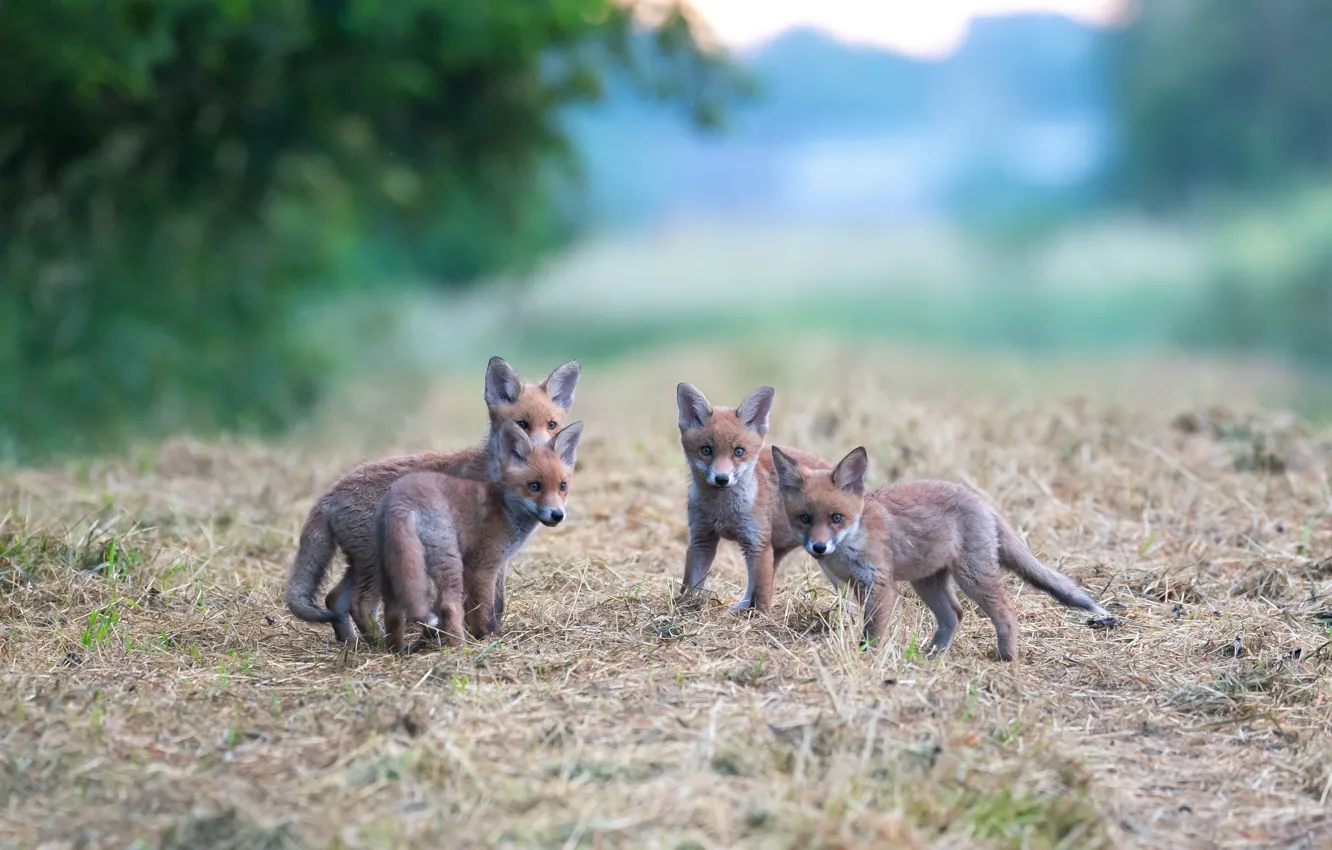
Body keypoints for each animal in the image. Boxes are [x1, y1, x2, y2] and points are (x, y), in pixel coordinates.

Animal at [375, 419, 584, 653]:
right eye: (534, 486)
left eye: (562, 486)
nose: (557, 515)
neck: (504, 507)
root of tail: (402, 501)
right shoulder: (482, 566)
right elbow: (483, 610)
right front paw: (485, 638)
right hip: (448, 561)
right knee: (448, 606)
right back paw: (459, 648)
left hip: (393, 565)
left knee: (393, 612)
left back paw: (397, 651)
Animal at [675, 383, 832, 615]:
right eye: (706, 450)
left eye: (739, 451)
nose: (722, 479)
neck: (722, 512)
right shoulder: (701, 538)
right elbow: (691, 584)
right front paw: (687, 607)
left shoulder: (757, 542)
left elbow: (764, 597)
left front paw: (762, 618)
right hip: (774, 551)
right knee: (751, 587)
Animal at [770, 444, 1121, 661]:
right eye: (805, 518)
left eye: (836, 518)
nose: (819, 547)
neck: (853, 540)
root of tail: (984, 503)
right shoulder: (855, 586)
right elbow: (865, 624)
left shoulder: (881, 585)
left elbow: (873, 631)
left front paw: (865, 658)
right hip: (928, 582)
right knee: (955, 614)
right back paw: (934, 655)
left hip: (972, 578)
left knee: (1006, 611)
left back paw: (1007, 658)